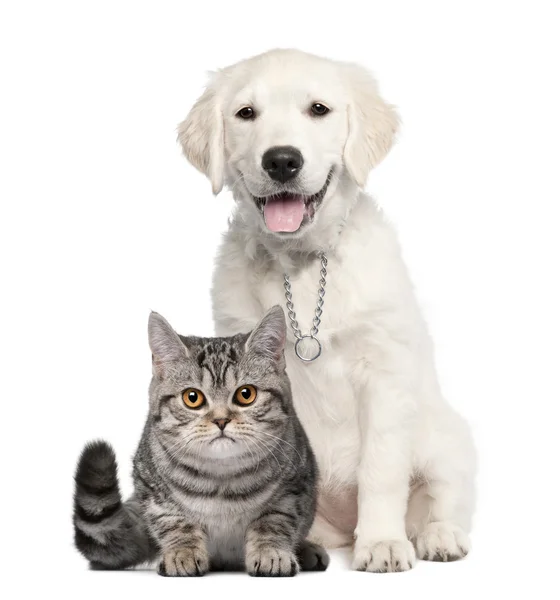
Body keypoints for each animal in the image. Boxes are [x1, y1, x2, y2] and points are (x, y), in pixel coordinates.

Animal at [74, 308, 328, 576]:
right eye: (192, 398)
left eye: (246, 394)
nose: (221, 419)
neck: (221, 478)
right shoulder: (153, 488)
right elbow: (175, 523)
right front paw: (182, 553)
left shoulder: (294, 487)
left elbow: (273, 522)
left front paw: (271, 552)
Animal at [177, 50, 474, 572]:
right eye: (246, 113)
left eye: (319, 109)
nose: (281, 160)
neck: (300, 263)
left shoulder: (384, 372)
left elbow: (381, 468)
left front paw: (381, 542)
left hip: (448, 438)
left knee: (442, 498)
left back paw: (437, 535)